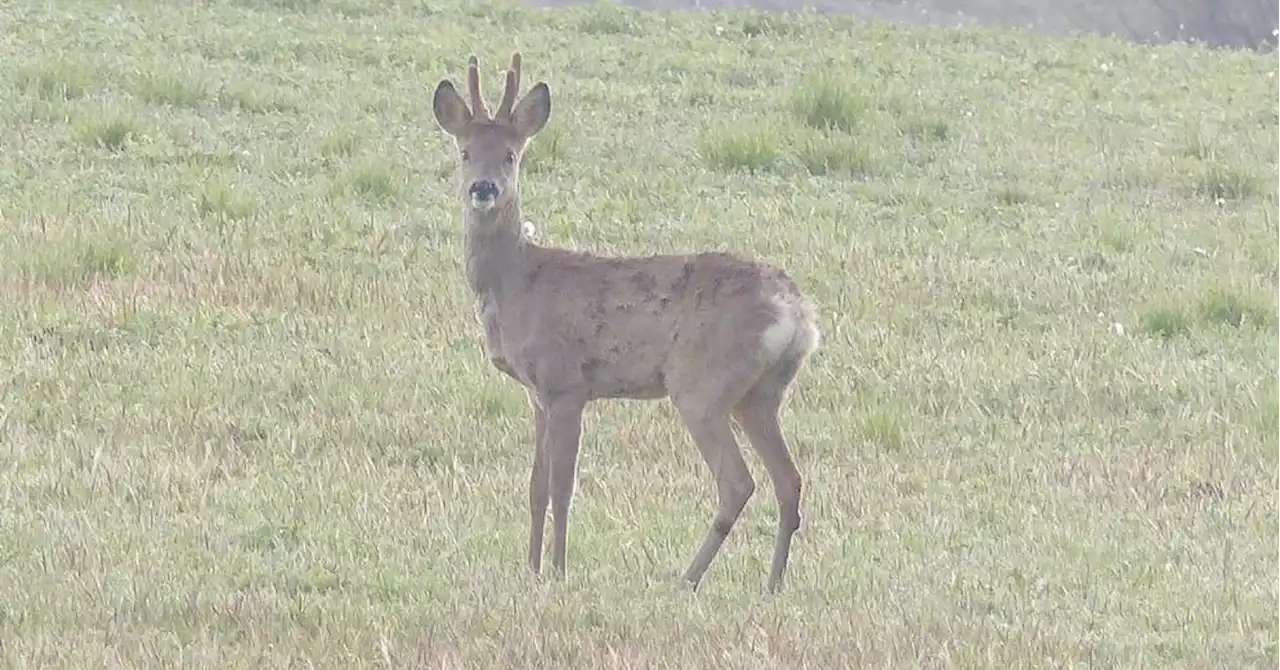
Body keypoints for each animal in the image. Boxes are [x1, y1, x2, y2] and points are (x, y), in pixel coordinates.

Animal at [435, 55, 824, 594]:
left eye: (511, 156)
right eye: (466, 152)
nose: (483, 188)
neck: (517, 281)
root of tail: (798, 314)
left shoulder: (566, 384)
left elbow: (562, 487)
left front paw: (559, 572)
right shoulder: (536, 393)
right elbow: (535, 486)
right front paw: (530, 570)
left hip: (702, 384)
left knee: (738, 482)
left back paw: (687, 580)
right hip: (760, 394)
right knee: (789, 480)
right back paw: (770, 586)